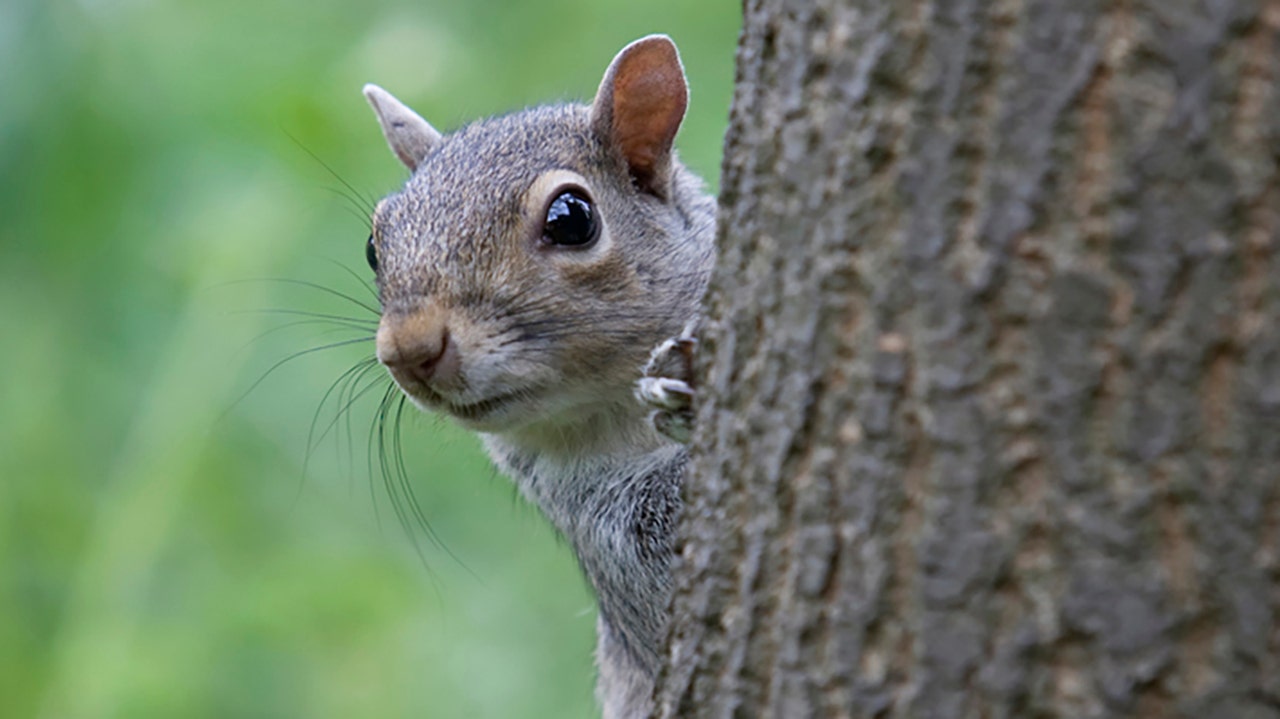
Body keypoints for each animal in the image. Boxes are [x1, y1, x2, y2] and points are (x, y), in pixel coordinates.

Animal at [360, 35, 716, 716]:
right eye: (374, 245)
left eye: (572, 218)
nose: (408, 349)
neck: (613, 408)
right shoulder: (603, 529)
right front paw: (684, 387)